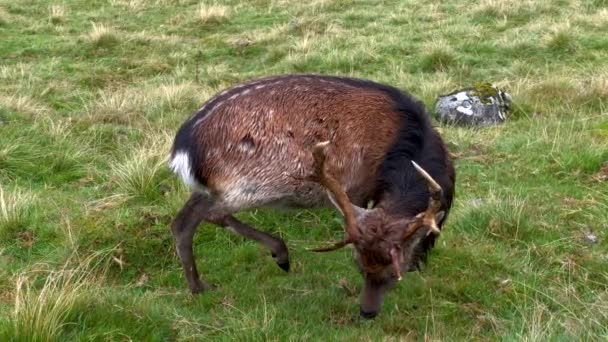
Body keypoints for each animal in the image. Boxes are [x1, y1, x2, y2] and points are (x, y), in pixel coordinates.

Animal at [169, 75, 454, 318]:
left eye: (393, 273)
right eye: (359, 266)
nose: (367, 312)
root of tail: (182, 150)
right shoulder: (357, 188)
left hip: (212, 187)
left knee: (183, 220)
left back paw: (198, 286)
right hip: (254, 183)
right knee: (214, 213)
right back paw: (280, 253)